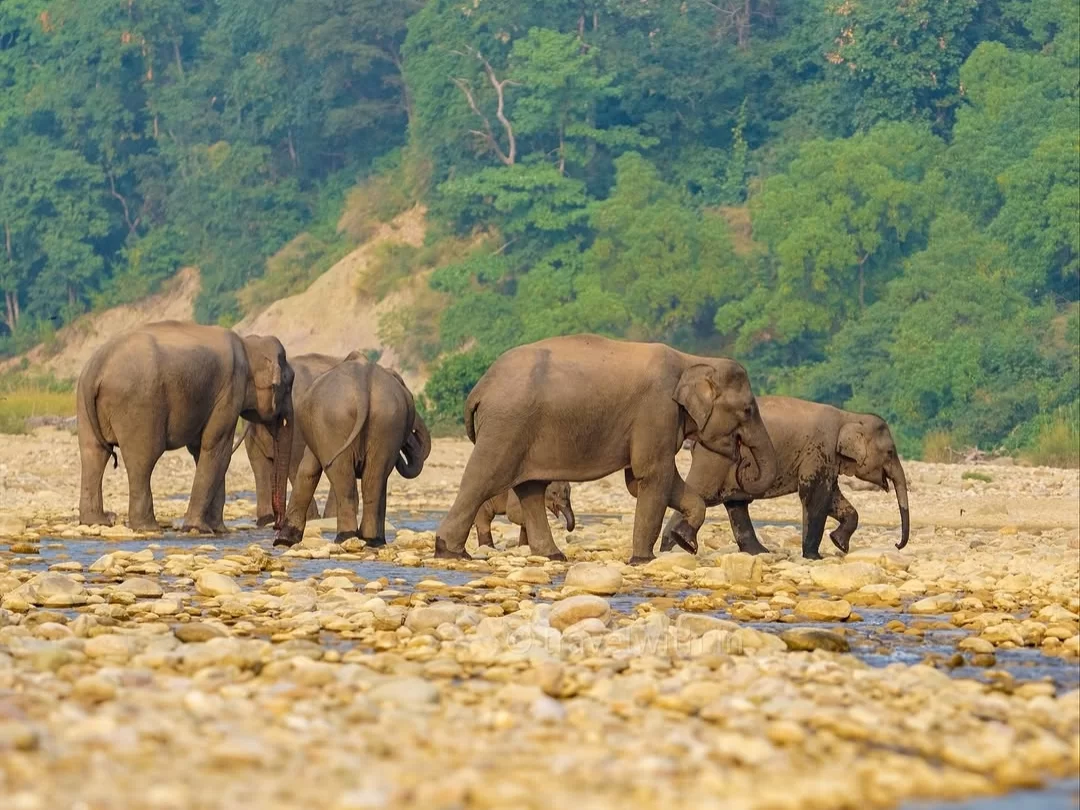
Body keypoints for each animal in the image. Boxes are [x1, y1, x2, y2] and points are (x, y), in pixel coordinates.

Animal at [77, 320, 294, 533]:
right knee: (142, 460)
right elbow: (217, 450)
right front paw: (199, 528)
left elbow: (204, 451)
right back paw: (149, 528)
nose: (277, 524)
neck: (249, 345)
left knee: (94, 455)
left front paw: (218, 529)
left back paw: (96, 522)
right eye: (289, 385)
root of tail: (97, 367)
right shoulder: (229, 393)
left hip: (85, 407)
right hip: (139, 405)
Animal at [274, 352, 431, 547]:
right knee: (373, 479)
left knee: (344, 479)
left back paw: (346, 537)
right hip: (384, 421)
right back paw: (372, 539)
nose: (410, 440)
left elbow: (308, 469)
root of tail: (361, 382)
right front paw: (285, 540)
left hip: (338, 421)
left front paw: (283, 540)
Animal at [433, 334, 777, 564]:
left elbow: (647, 482)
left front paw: (686, 543)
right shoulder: (657, 409)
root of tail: (479, 387)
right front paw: (644, 560)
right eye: (748, 410)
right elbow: (654, 476)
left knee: (530, 488)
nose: (744, 464)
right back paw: (451, 553)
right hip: (506, 424)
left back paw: (554, 556)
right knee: (483, 479)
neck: (692, 360)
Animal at [660, 396, 910, 559]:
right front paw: (814, 557)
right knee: (701, 494)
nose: (897, 545)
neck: (848, 415)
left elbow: (833, 498)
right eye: (890, 452)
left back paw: (758, 552)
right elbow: (815, 496)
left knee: (736, 504)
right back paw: (680, 545)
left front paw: (839, 544)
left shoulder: (826, 459)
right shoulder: (819, 450)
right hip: (714, 461)